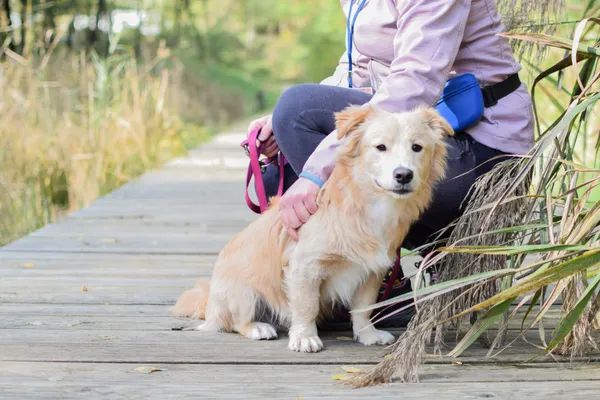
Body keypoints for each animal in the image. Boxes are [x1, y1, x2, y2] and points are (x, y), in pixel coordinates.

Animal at [173, 104, 454, 352]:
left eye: (417, 148)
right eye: (380, 147)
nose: (404, 175)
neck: (370, 205)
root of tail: (210, 302)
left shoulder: (372, 271)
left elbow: (364, 307)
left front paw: (367, 334)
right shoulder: (305, 266)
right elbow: (306, 306)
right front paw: (305, 337)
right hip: (244, 292)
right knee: (235, 322)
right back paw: (257, 327)